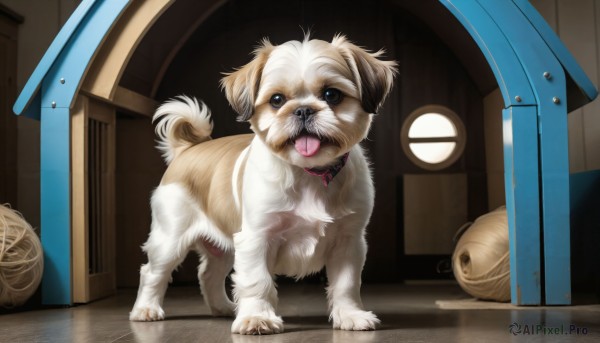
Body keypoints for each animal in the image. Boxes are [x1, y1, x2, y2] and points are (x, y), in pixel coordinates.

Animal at [129, 35, 396, 336]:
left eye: (332, 95)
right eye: (277, 100)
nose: (303, 109)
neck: (308, 173)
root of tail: (187, 149)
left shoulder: (348, 241)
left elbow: (346, 284)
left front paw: (350, 315)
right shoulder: (256, 238)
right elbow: (257, 281)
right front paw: (257, 317)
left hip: (222, 247)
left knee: (208, 274)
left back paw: (223, 308)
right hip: (170, 238)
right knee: (153, 273)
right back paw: (146, 310)